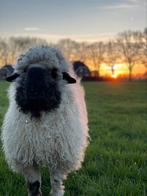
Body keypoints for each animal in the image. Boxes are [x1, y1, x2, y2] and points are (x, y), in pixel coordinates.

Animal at [1, 45, 88, 195]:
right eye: (24, 70)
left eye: (54, 72)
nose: (34, 88)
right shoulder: (28, 160)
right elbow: (34, 186)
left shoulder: (59, 158)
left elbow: (56, 184)